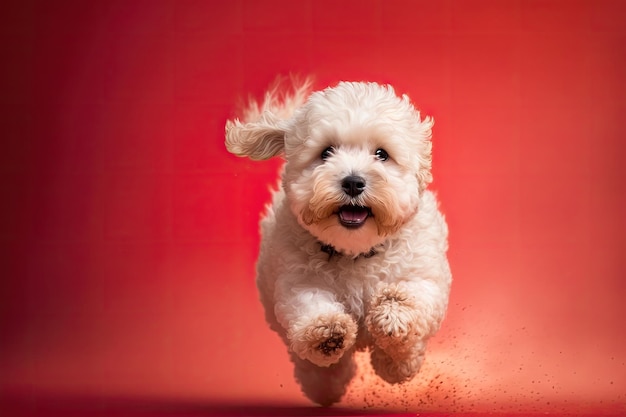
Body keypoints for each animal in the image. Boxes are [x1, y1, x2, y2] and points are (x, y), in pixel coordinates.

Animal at [224, 77, 448, 404]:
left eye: (382, 154)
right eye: (326, 152)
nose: (353, 182)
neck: (356, 251)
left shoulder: (423, 274)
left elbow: (408, 299)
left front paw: (393, 330)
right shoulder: (296, 281)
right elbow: (309, 306)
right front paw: (328, 332)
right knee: (314, 365)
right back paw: (325, 384)